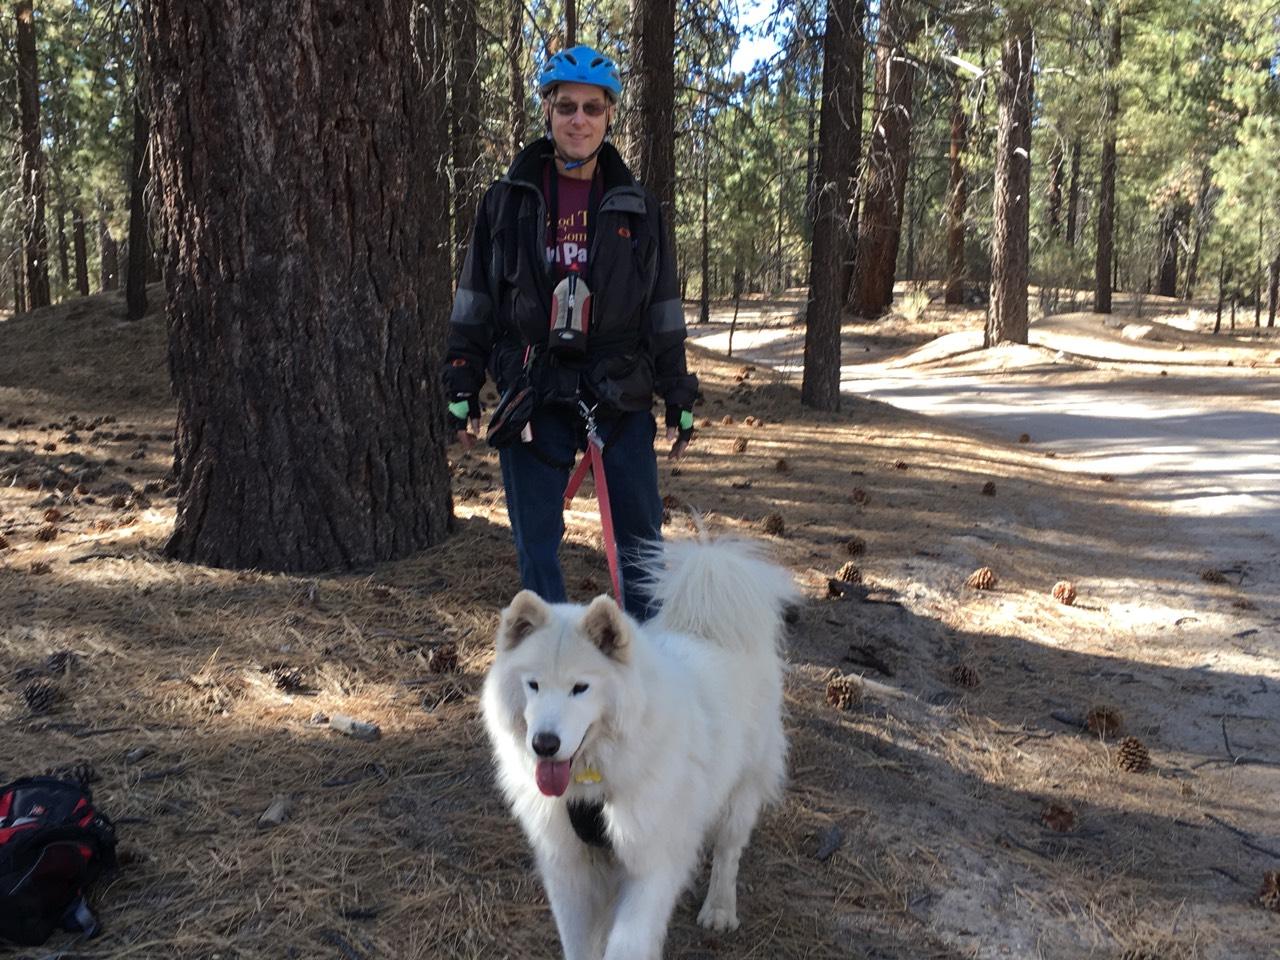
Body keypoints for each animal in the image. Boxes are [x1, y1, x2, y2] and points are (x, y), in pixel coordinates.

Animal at [483, 537, 793, 957]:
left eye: (580, 688)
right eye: (533, 685)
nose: (544, 744)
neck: (592, 781)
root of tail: (709, 628)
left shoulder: (651, 865)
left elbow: (628, 943)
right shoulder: (569, 869)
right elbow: (580, 944)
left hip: (740, 792)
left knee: (728, 853)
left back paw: (719, 909)